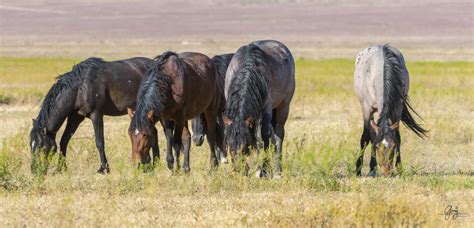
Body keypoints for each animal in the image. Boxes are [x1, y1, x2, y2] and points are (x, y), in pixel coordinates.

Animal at [30, 56, 159, 173]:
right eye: (31, 145)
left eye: (42, 147)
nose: (35, 170)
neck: (80, 87)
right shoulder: (75, 117)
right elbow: (64, 140)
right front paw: (60, 168)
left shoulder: (96, 114)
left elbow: (99, 142)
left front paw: (104, 169)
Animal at [221, 40, 292, 177]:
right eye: (229, 145)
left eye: (245, 146)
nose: (239, 170)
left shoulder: (265, 112)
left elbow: (264, 139)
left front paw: (263, 170)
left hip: (283, 106)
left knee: (278, 135)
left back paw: (277, 169)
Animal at [354, 44, 428, 176]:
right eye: (377, 146)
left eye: (393, 147)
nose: (386, 172)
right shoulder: (367, 109)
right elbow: (367, 137)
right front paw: (366, 169)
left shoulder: (397, 108)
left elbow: (397, 136)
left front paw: (399, 167)